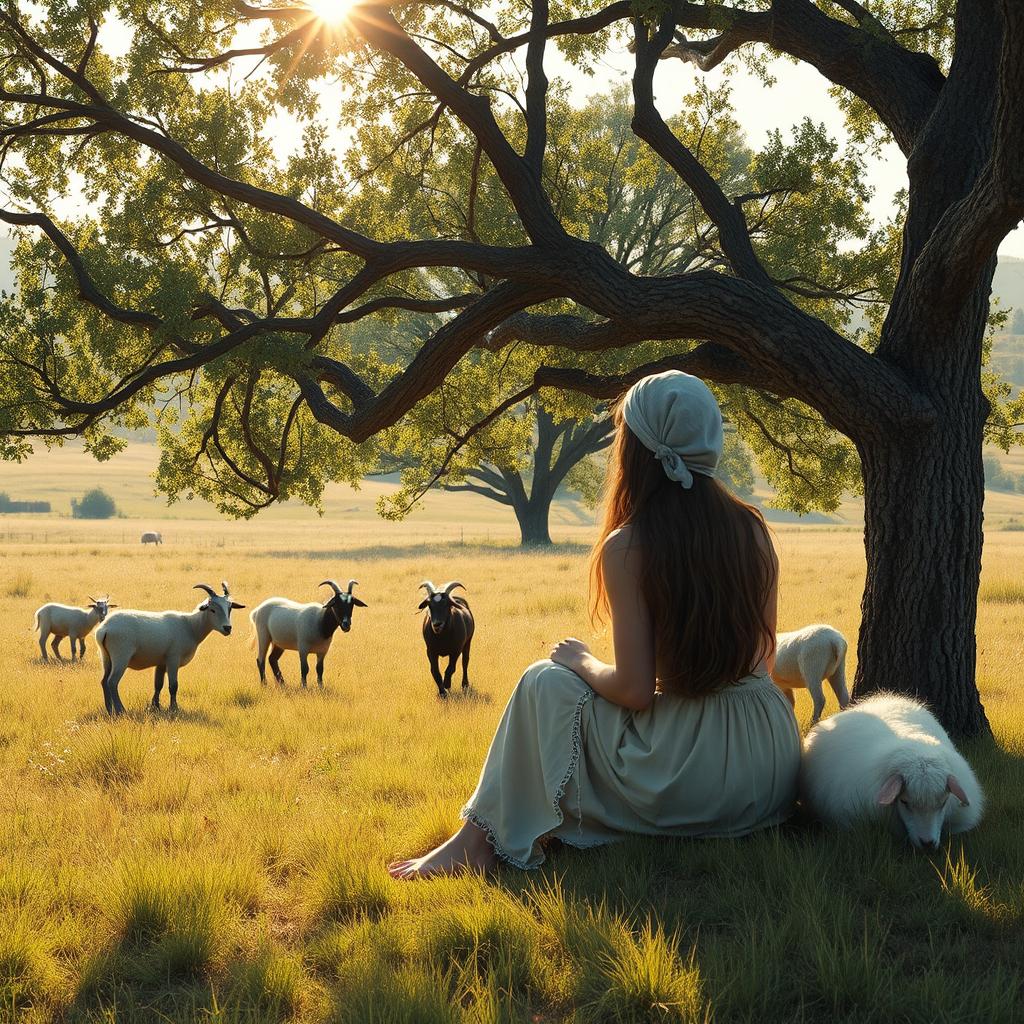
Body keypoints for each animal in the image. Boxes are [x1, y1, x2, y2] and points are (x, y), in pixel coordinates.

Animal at [94, 581, 245, 716]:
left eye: (230, 608)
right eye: (212, 609)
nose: (227, 628)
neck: (191, 626)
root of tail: (104, 629)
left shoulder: (161, 662)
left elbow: (158, 685)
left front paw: (155, 707)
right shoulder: (173, 659)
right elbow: (173, 686)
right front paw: (174, 709)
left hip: (106, 657)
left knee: (104, 682)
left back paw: (109, 710)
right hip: (121, 657)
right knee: (112, 682)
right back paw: (120, 711)